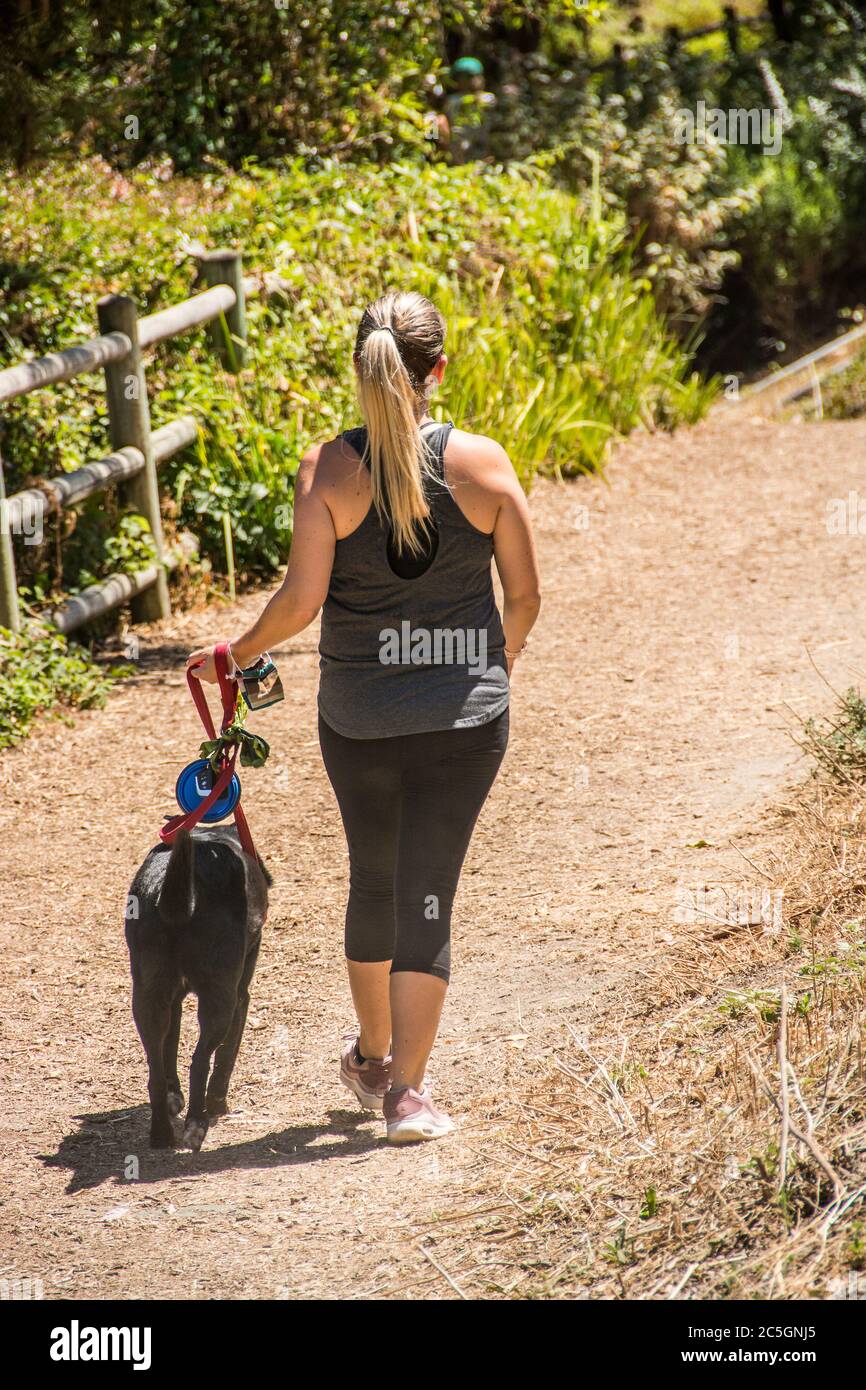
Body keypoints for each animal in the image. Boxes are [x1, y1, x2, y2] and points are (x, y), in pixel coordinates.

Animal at [125, 822, 271, 1150]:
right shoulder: (241, 997)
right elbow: (226, 1056)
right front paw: (218, 1103)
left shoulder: (173, 1001)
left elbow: (170, 1048)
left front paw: (174, 1095)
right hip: (221, 1000)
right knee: (200, 1060)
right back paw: (197, 1123)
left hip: (148, 998)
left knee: (155, 1071)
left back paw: (161, 1134)